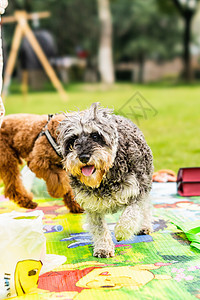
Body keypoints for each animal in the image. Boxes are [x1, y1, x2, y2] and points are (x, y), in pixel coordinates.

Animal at [57, 103, 153, 258]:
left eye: (95, 135)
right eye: (73, 140)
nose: (83, 157)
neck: (104, 179)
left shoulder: (137, 191)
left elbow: (131, 212)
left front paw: (121, 231)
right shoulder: (91, 206)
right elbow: (99, 228)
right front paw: (103, 248)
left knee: (146, 209)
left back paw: (145, 226)